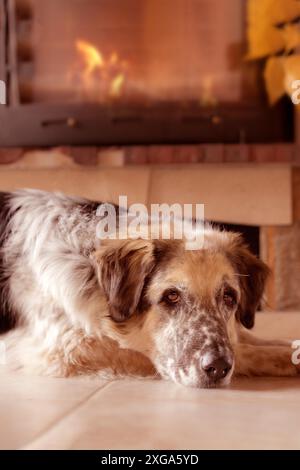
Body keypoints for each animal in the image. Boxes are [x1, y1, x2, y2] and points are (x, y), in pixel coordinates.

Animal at [0, 189, 298, 388]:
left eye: (229, 297)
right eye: (171, 296)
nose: (217, 368)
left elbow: (246, 338)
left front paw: (289, 346)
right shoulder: (63, 351)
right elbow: (245, 351)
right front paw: (286, 357)